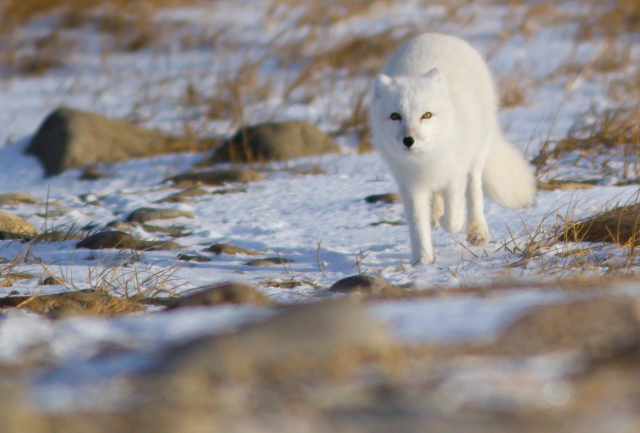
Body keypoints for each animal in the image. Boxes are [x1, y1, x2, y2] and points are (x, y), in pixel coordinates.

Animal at [369, 33, 536, 265]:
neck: (425, 160)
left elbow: (454, 218)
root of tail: (437, 34)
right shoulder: (409, 184)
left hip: (477, 152)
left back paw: (477, 231)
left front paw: (447, 224)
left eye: (427, 115)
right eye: (395, 116)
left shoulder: (455, 173)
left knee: (474, 189)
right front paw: (422, 260)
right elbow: (417, 224)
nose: (408, 140)